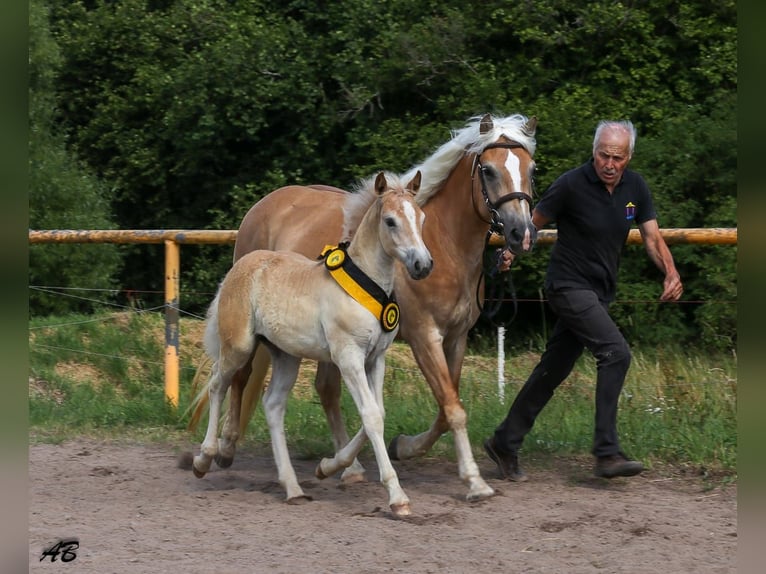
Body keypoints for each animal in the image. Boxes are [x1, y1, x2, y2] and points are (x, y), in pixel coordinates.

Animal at [190, 112, 540, 504]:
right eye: (489, 171)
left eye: (531, 168)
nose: (521, 233)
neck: (445, 245)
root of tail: (264, 205)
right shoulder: (424, 337)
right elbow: (451, 408)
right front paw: (472, 480)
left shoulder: (455, 339)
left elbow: (445, 408)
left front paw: (405, 448)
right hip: (250, 335)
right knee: (238, 376)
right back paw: (224, 449)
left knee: (323, 389)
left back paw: (346, 468)